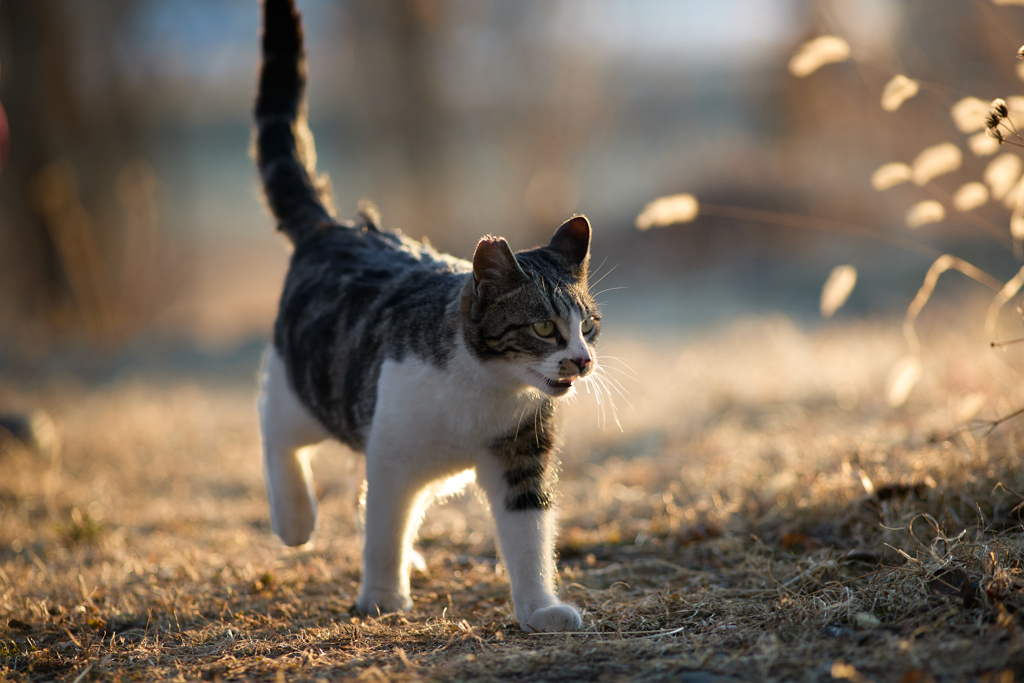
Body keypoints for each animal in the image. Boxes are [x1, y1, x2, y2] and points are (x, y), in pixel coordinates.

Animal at [252, 0, 598, 634]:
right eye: (544, 327)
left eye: (589, 327)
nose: (583, 362)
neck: (482, 390)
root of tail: (335, 227)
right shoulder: (391, 454)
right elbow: (383, 526)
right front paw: (383, 595)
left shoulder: (520, 458)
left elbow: (528, 537)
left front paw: (539, 609)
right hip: (310, 389)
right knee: (276, 426)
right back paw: (294, 519)